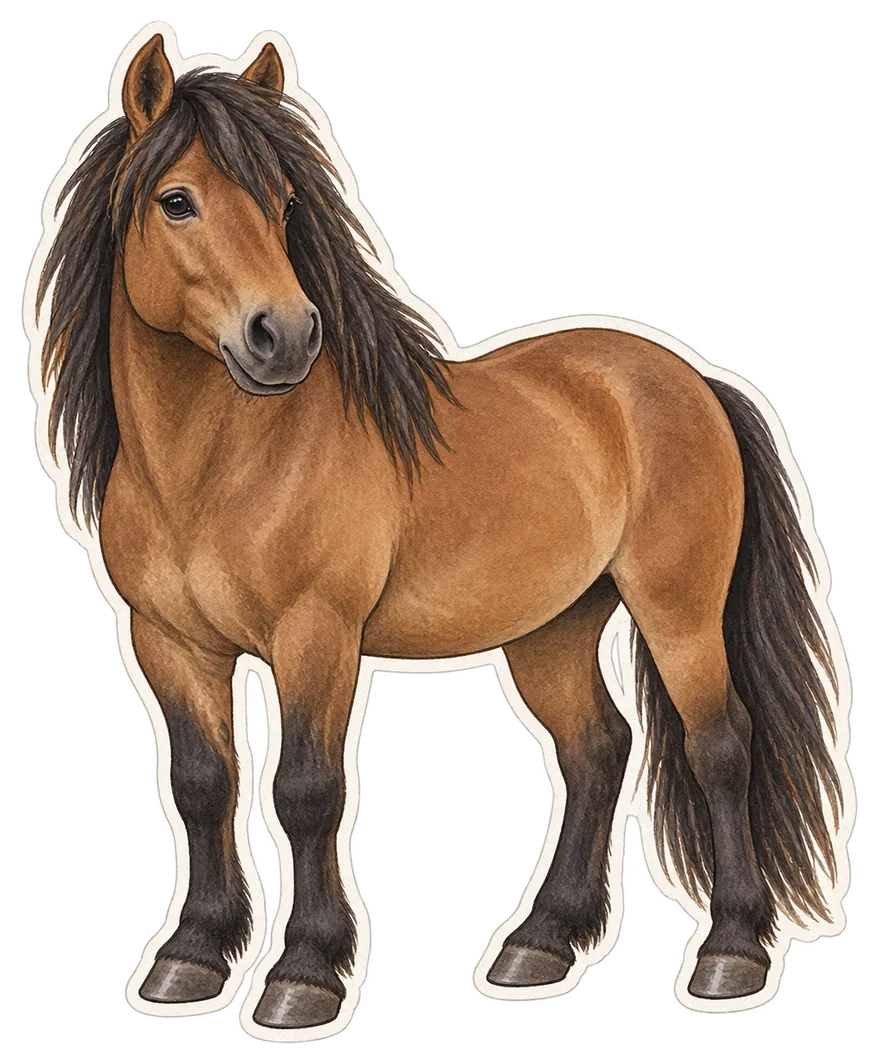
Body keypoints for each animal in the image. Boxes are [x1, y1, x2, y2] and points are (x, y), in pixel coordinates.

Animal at [33, 32, 847, 1029]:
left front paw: (304, 976)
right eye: (175, 201)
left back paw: (729, 954)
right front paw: (190, 958)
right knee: (595, 751)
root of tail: (692, 382)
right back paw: (538, 946)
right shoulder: (169, 642)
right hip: (554, 625)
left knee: (719, 746)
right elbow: (200, 785)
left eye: (285, 201)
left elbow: (305, 791)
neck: (217, 469)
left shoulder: (316, 637)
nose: (283, 336)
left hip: (678, 610)